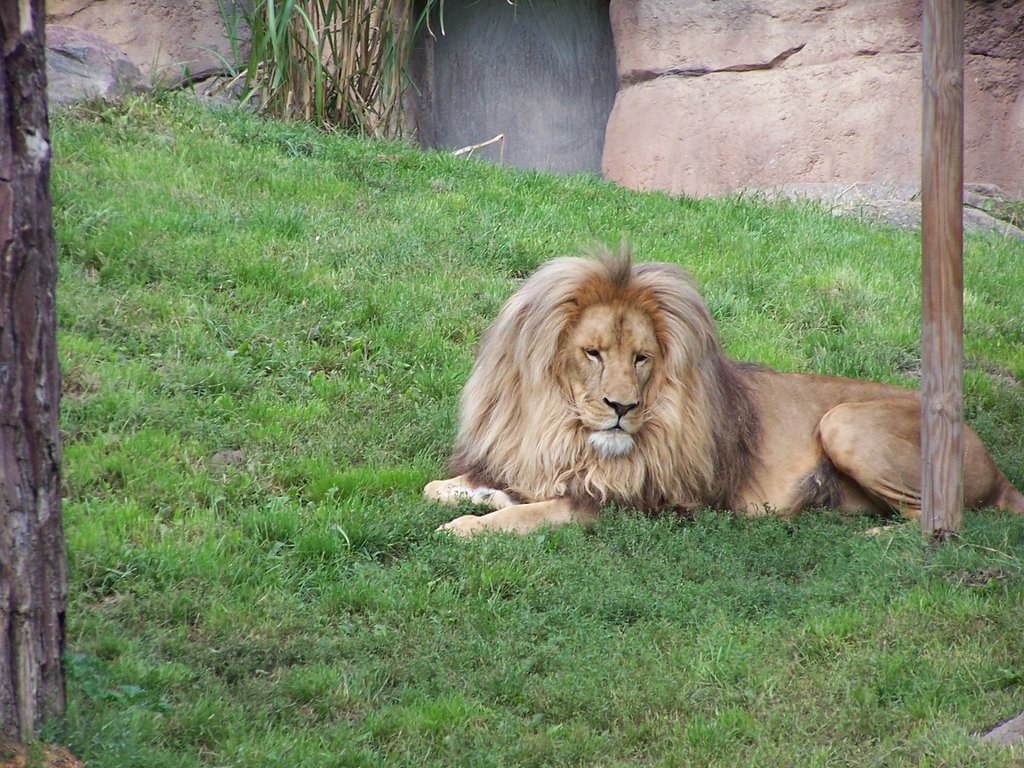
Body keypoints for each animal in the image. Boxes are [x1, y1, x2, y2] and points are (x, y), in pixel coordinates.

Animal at [423, 244, 1024, 536]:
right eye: (593, 353)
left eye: (641, 358)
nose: (622, 408)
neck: (563, 427)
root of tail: (999, 470)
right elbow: (456, 488)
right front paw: (462, 494)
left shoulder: (641, 503)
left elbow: (530, 515)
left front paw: (464, 529)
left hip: (844, 422)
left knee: (943, 522)